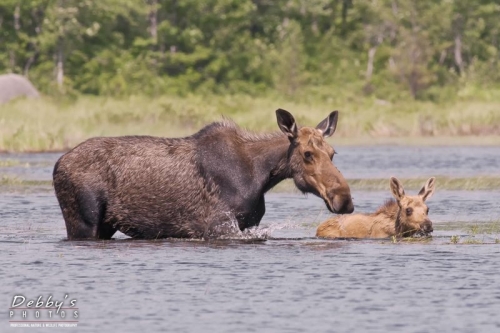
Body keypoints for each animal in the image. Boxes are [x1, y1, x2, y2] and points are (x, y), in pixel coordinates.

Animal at [52, 109, 354, 239]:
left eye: (333, 152)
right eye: (307, 154)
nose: (345, 199)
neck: (261, 177)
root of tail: (57, 165)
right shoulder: (216, 226)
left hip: (105, 225)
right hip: (83, 222)